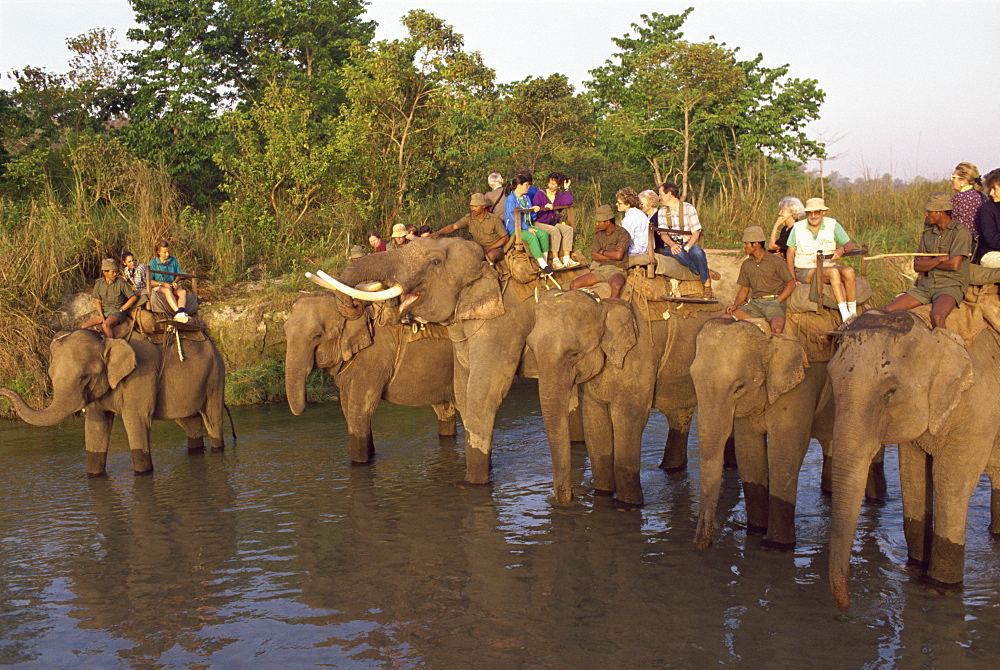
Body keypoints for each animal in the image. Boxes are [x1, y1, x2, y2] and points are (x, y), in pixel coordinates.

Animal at [0, 330, 227, 478]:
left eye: (84, 377)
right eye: (50, 375)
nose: (3, 389)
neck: (107, 340)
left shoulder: (141, 373)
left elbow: (137, 420)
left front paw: (143, 473)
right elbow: (96, 426)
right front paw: (94, 475)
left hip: (215, 374)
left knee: (212, 419)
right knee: (189, 421)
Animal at [280, 292, 456, 464]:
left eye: (317, 335)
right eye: (285, 331)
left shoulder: (374, 359)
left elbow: (359, 412)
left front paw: (360, 463)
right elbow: (347, 408)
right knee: (444, 409)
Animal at [524, 292, 656, 506]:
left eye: (574, 354)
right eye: (531, 349)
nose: (571, 494)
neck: (603, 305)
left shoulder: (640, 357)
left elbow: (629, 419)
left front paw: (628, 505)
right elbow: (594, 422)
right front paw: (602, 495)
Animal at [824, 312, 1000, 612]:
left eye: (890, 392)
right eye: (831, 382)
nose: (847, 608)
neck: (934, 334)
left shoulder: (980, 407)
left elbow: (949, 479)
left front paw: (938, 588)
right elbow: (913, 474)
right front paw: (914, 567)